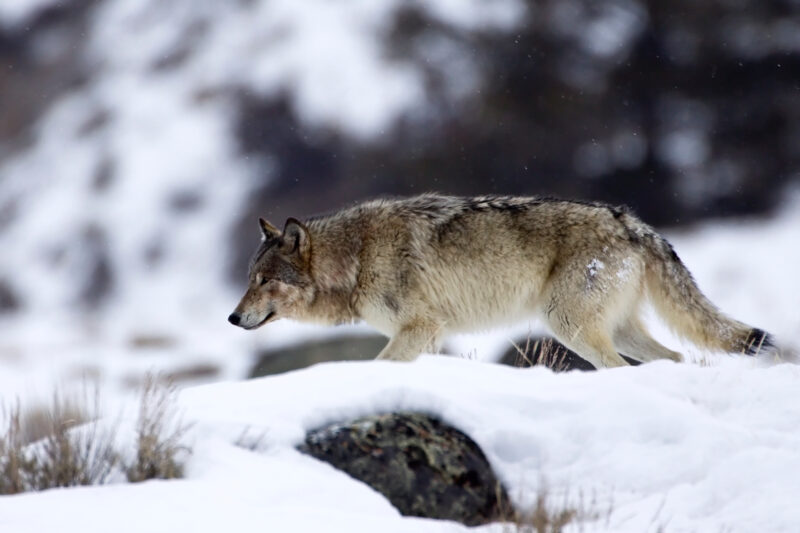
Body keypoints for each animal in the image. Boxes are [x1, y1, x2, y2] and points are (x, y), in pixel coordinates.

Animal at [228, 194, 774, 368]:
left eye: (263, 280)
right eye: (248, 279)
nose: (233, 318)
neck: (357, 257)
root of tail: (632, 222)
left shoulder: (419, 329)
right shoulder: (431, 337)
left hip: (569, 326)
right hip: (615, 329)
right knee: (677, 358)